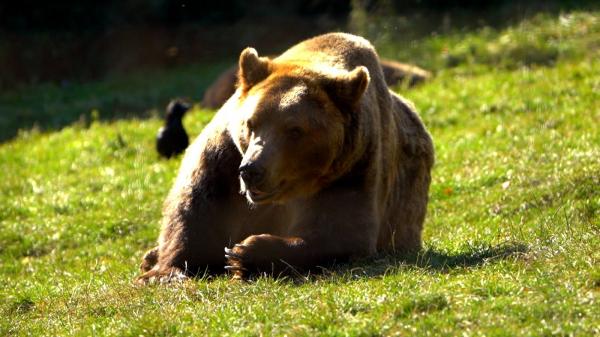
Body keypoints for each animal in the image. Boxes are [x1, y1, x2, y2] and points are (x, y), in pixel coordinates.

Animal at [138, 32, 434, 280]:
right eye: (251, 123)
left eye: (294, 130)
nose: (252, 170)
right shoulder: (224, 158)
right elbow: (194, 209)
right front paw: (164, 273)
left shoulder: (352, 168)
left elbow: (339, 234)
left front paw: (244, 253)